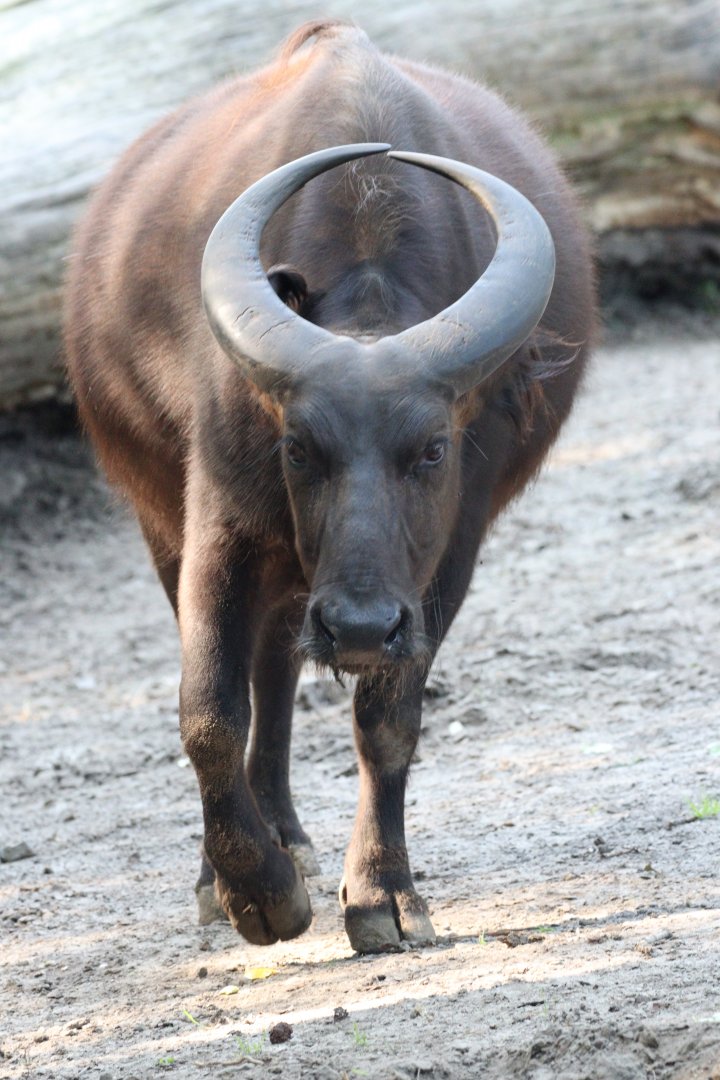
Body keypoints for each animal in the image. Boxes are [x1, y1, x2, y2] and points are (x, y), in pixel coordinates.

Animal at [65, 19, 596, 953]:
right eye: (298, 445)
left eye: (432, 449)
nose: (356, 626)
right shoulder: (219, 525)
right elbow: (208, 710)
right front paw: (255, 890)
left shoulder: (442, 561)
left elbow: (386, 722)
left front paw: (384, 894)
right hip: (171, 524)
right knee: (262, 677)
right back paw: (256, 854)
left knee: (279, 670)